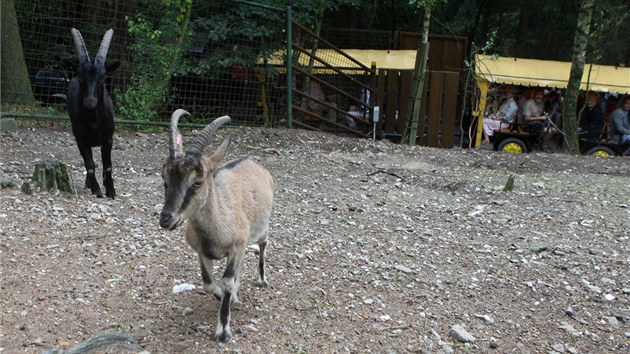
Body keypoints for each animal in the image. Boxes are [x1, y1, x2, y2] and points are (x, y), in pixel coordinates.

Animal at [67, 28, 119, 199]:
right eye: (80, 76)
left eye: (103, 78)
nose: (90, 102)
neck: (94, 121)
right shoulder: (81, 141)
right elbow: (89, 164)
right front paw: (97, 190)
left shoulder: (108, 139)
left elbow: (108, 165)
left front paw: (111, 190)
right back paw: (89, 183)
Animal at [158, 109, 274, 342]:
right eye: (165, 179)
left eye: (197, 182)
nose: (166, 218)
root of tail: (254, 163)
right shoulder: (202, 251)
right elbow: (209, 284)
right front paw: (227, 298)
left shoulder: (236, 246)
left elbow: (227, 281)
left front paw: (223, 331)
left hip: (262, 228)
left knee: (263, 246)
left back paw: (261, 280)